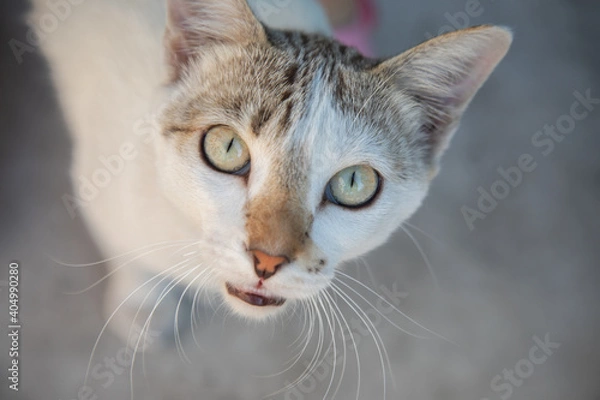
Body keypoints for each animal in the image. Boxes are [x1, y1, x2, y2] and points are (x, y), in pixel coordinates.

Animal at [31, 0, 510, 344]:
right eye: (226, 148)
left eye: (353, 183)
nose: (267, 260)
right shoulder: (100, 183)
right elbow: (126, 250)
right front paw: (144, 302)